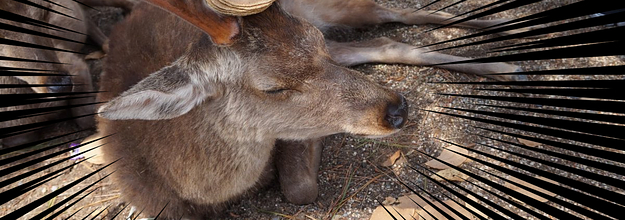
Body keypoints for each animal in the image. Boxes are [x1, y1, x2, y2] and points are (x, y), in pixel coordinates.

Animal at [90, 0, 532, 218]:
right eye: (272, 87)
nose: (396, 109)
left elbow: (301, 189)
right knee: (389, 41)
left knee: (396, 11)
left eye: (314, 42)